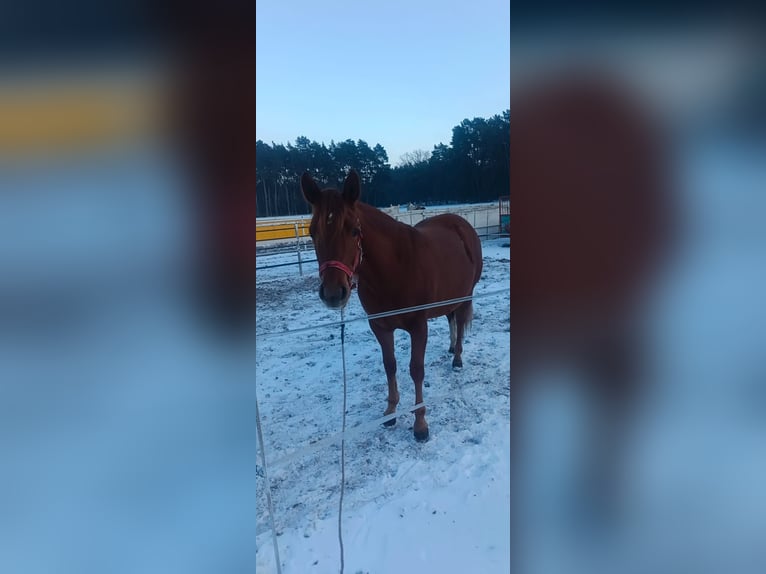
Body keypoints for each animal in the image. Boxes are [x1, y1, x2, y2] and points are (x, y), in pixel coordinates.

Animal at [300, 170, 483, 441]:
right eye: (313, 232)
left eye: (354, 231)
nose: (333, 293)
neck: (394, 268)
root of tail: (462, 224)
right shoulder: (380, 327)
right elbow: (390, 366)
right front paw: (390, 412)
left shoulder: (418, 327)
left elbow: (416, 369)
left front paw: (420, 425)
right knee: (451, 319)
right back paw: (451, 348)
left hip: (465, 294)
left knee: (459, 322)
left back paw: (457, 358)